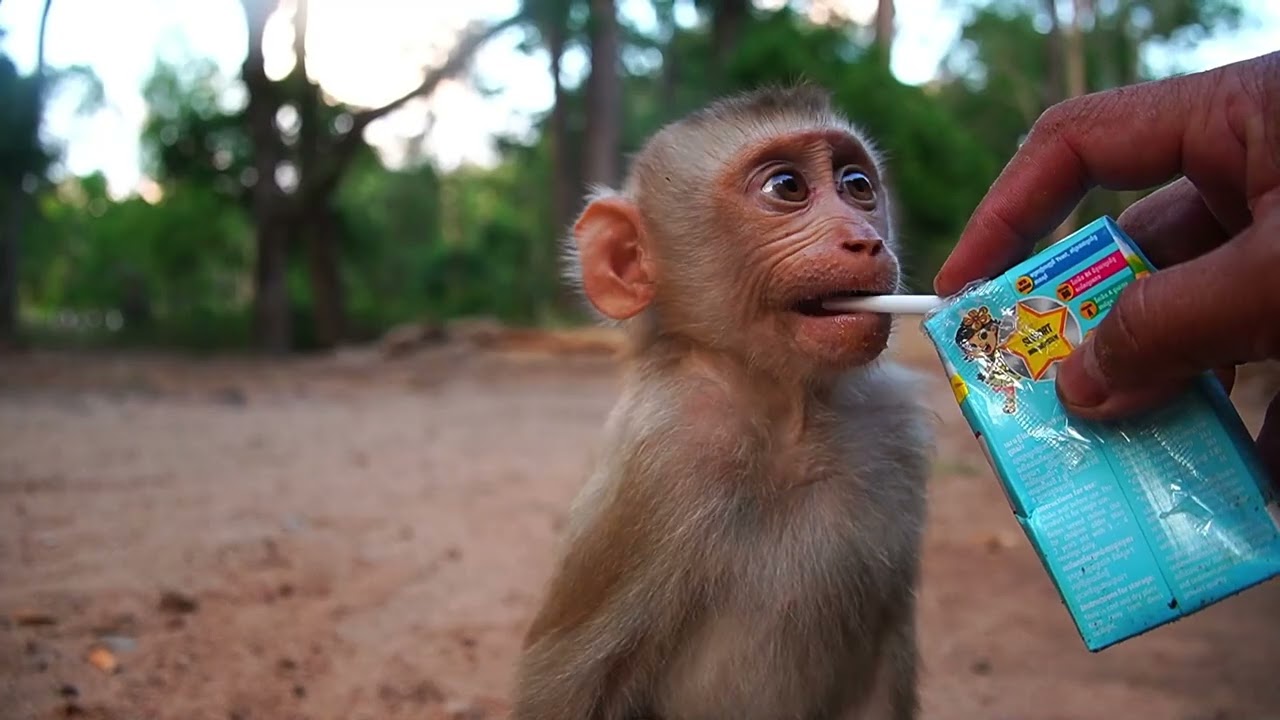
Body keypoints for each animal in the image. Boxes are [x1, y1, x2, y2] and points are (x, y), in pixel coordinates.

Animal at [511, 85, 936, 720]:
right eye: (786, 186)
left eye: (858, 184)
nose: (866, 240)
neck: (790, 418)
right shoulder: (665, 456)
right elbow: (565, 681)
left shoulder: (895, 430)